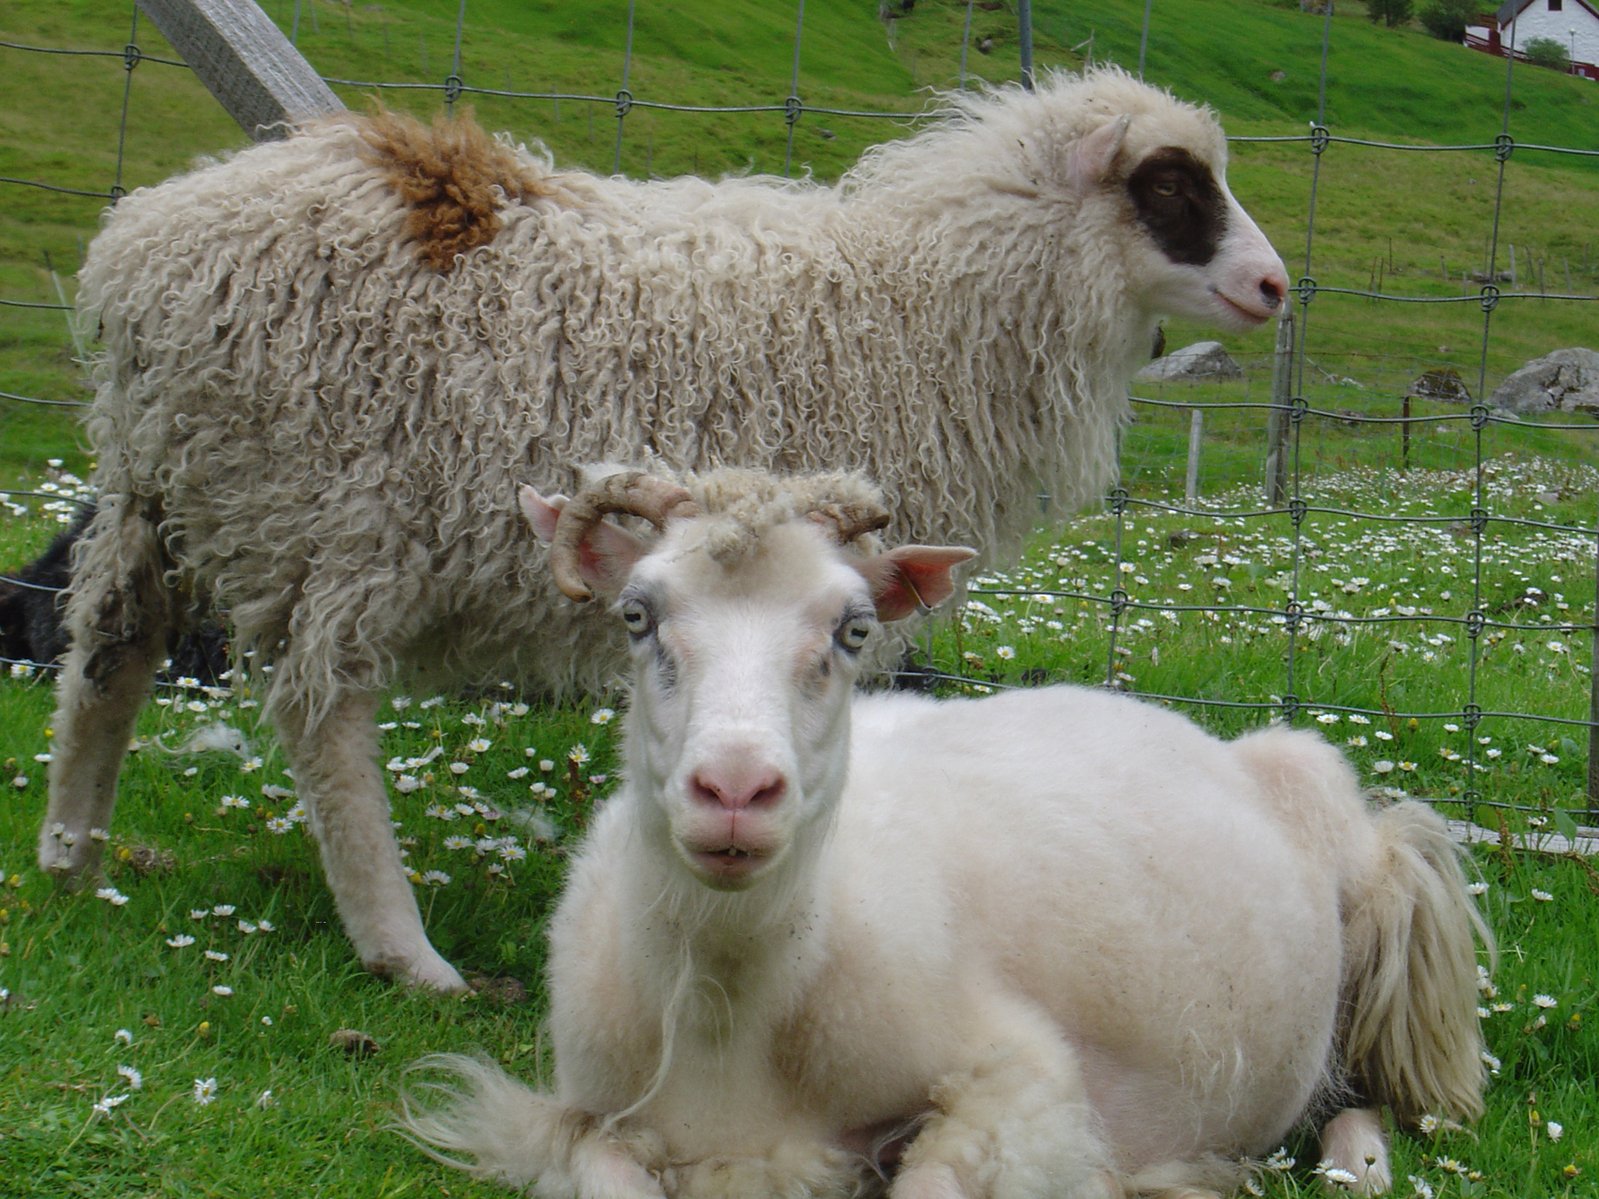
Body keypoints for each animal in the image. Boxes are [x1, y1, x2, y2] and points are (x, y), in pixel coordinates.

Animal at [40, 65, 1285, 991]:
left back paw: (72, 856)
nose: (1275, 287)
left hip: (164, 482)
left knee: (107, 649)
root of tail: (140, 249)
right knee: (323, 717)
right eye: (1171, 184)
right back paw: (406, 950)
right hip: (322, 508)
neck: (921, 305)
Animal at [396, 470, 1483, 1199]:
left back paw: (1352, 1164)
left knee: (1363, 1095)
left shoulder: (1030, 1088)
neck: (730, 1007)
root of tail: (1243, 745)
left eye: (852, 630)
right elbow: (603, 1171)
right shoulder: (589, 1114)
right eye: (636, 615)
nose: (736, 788)